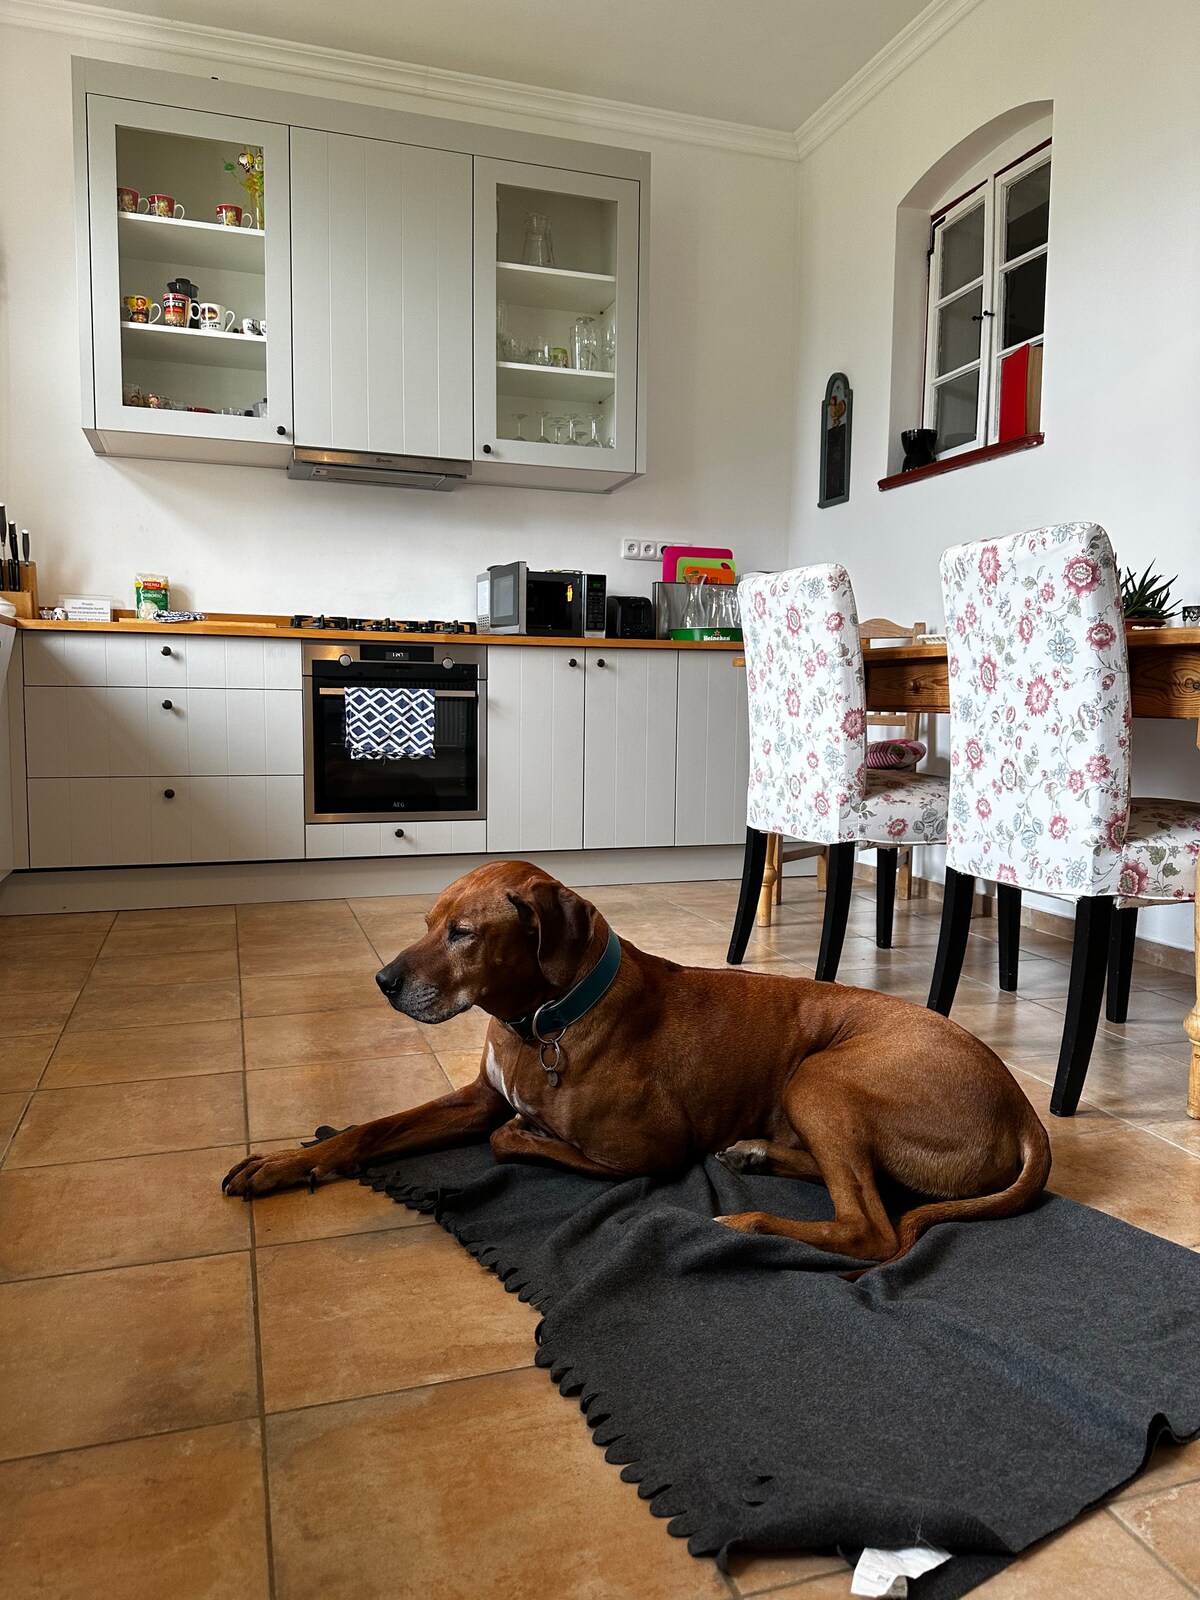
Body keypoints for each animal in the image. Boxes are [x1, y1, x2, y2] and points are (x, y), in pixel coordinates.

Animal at [223, 861, 1051, 1270]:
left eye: (463, 934)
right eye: (427, 922)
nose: (384, 981)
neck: (542, 1023)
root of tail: (1021, 1106)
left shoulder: (646, 1153)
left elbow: (512, 1139)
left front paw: (536, 1133)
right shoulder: (476, 1097)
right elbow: (372, 1129)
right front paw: (283, 1163)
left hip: (823, 1077)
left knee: (871, 1228)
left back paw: (746, 1219)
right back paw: (756, 1154)